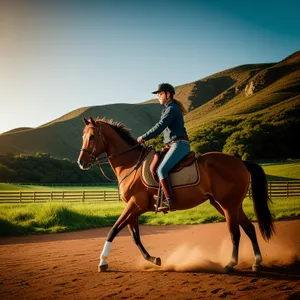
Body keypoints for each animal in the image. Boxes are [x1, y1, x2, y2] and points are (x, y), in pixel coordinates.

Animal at [77, 116, 274, 274]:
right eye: (83, 137)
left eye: (92, 137)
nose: (81, 162)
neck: (131, 164)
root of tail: (240, 162)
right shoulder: (133, 208)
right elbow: (135, 237)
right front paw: (153, 259)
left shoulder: (135, 205)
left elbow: (113, 230)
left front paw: (102, 261)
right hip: (228, 205)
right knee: (249, 228)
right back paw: (257, 262)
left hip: (228, 206)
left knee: (235, 233)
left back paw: (231, 264)